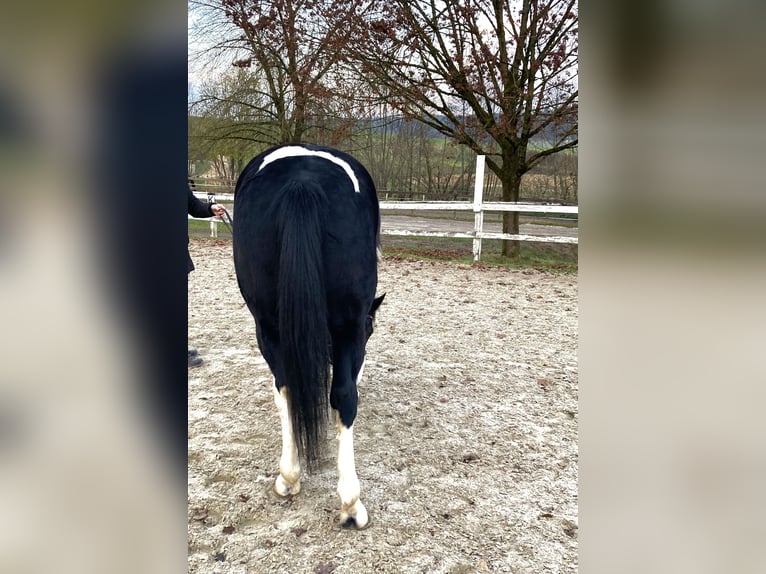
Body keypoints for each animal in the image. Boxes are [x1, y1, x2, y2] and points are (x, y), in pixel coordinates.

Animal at [230, 144, 382, 532]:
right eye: (372, 327)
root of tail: (303, 181)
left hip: (268, 326)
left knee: (286, 389)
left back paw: (289, 476)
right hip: (346, 325)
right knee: (344, 395)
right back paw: (350, 504)